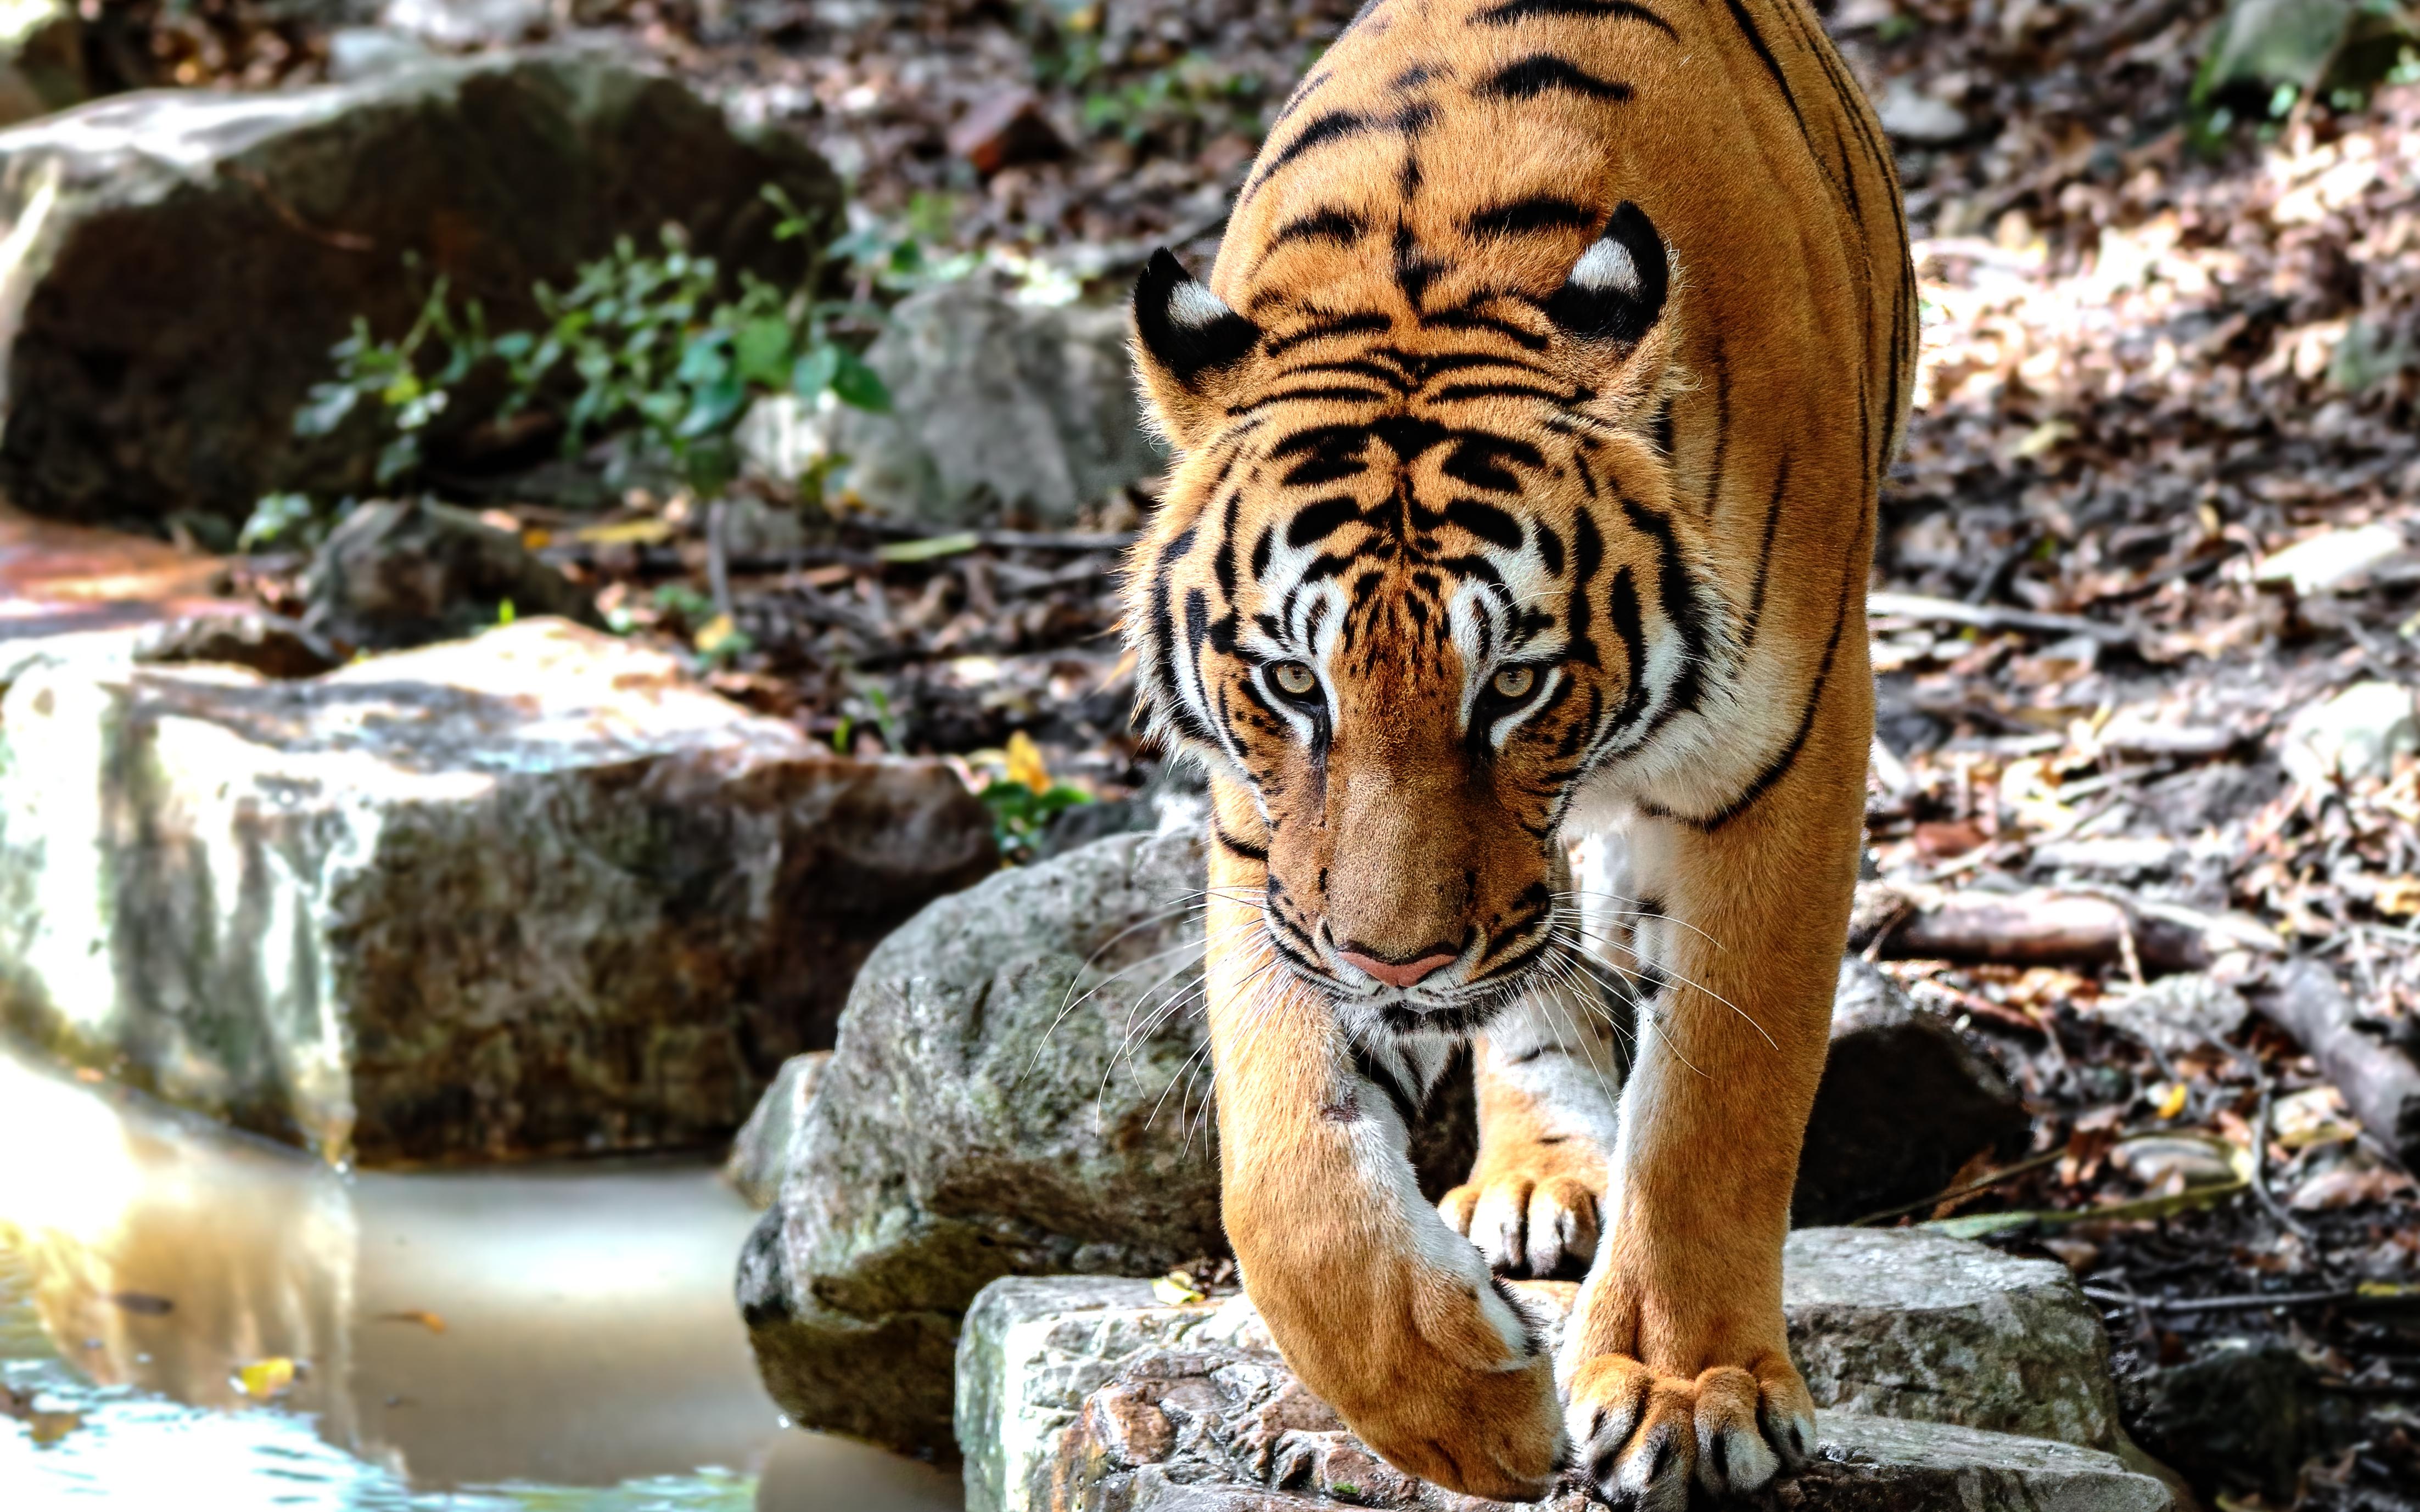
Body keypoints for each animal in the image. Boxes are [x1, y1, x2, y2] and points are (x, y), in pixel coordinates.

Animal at [1113, 0, 1907, 1490]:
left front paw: (1688, 1389)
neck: (1431, 265)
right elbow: (1283, 1169)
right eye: (1293, 682)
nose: (1394, 964)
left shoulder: (1783, 760)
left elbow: (1719, 1099)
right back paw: (1540, 1175)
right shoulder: (1266, 844)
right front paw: (1463, 1408)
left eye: (1516, 684)